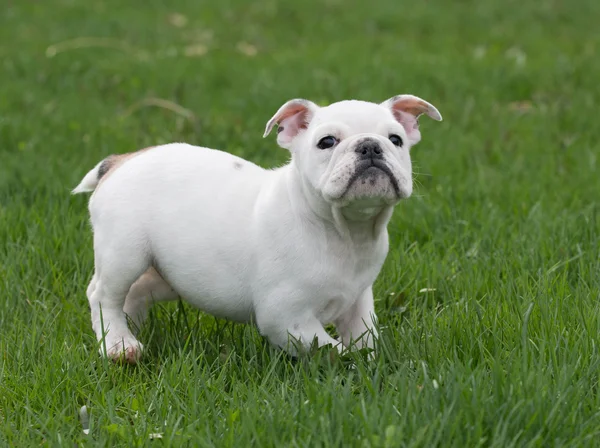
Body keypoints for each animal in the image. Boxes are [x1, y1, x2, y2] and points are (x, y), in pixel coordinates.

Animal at [74, 93, 440, 362]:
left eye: (396, 139)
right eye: (326, 142)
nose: (370, 145)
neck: (345, 230)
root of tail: (122, 160)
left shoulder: (358, 301)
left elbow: (364, 339)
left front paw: (373, 362)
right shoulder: (287, 317)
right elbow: (334, 350)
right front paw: (353, 364)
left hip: (165, 272)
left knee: (133, 294)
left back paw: (127, 331)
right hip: (125, 253)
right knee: (103, 294)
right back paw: (118, 344)